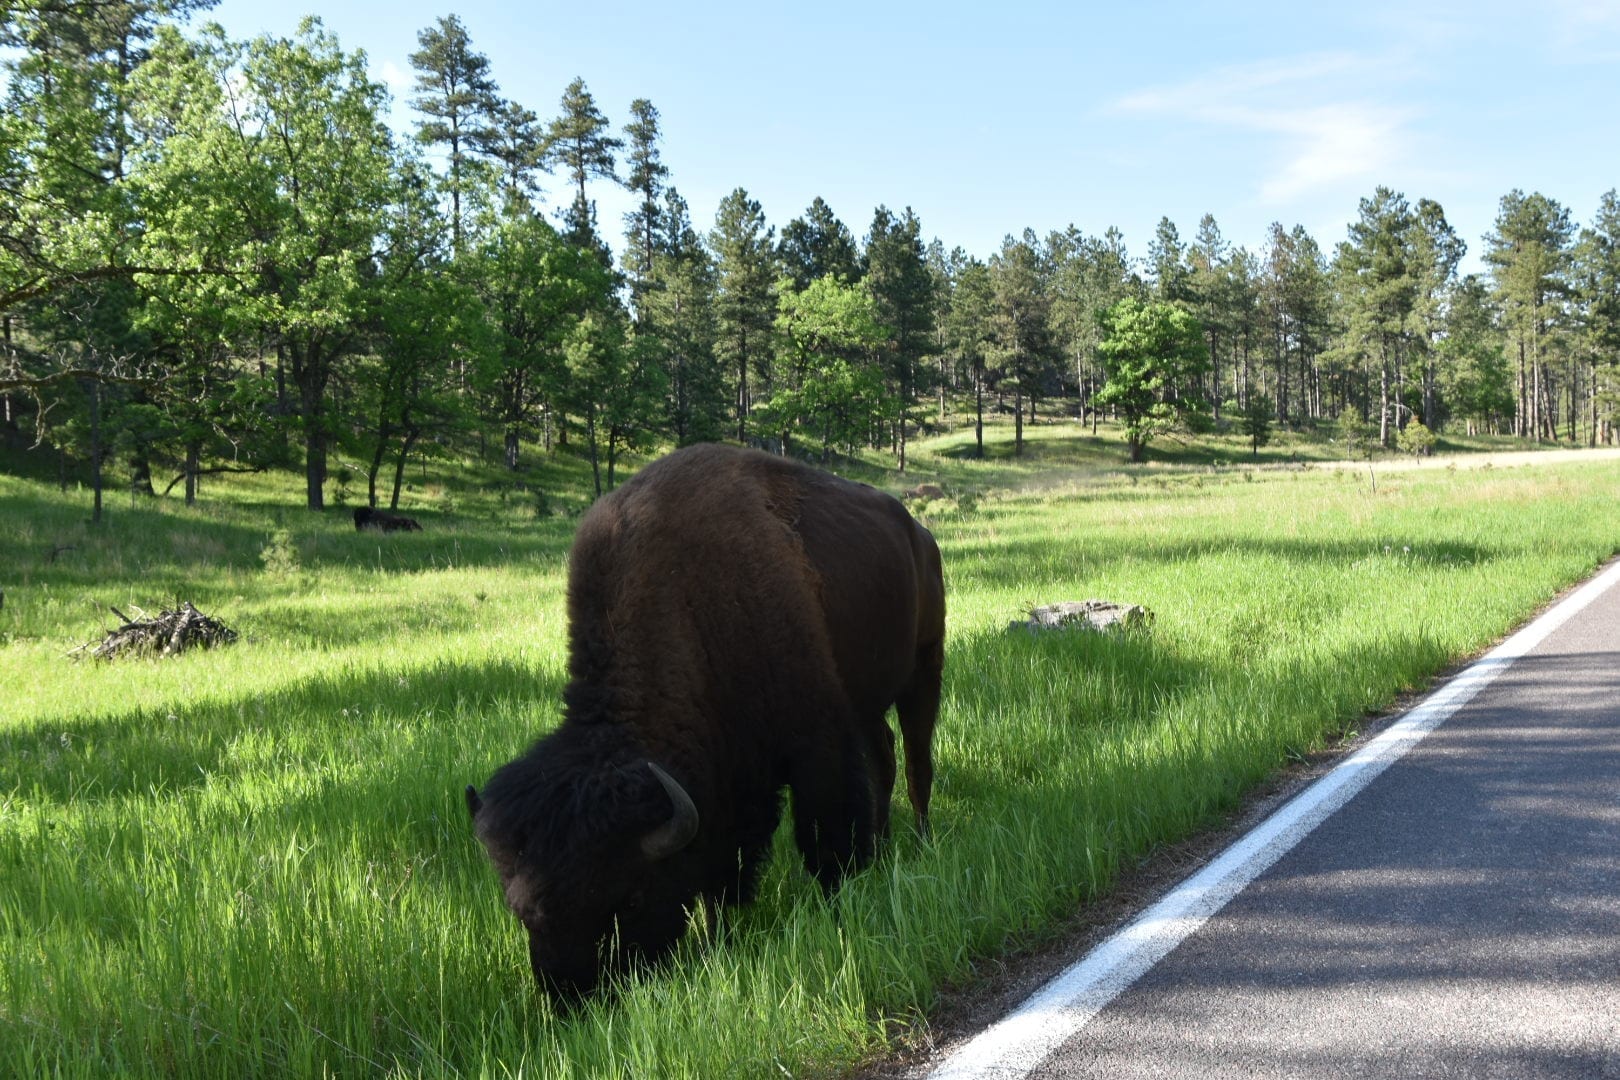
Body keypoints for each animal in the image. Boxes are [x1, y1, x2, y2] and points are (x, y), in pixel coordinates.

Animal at [463, 443, 946, 1003]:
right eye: (522, 912)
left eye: (629, 899)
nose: (573, 998)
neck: (691, 603)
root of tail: (919, 533)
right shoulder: (722, 783)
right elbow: (717, 868)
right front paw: (718, 937)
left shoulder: (817, 743)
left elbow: (824, 834)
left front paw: (838, 902)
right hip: (870, 704)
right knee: (884, 756)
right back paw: (886, 846)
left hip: (924, 667)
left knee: (916, 763)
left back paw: (921, 844)